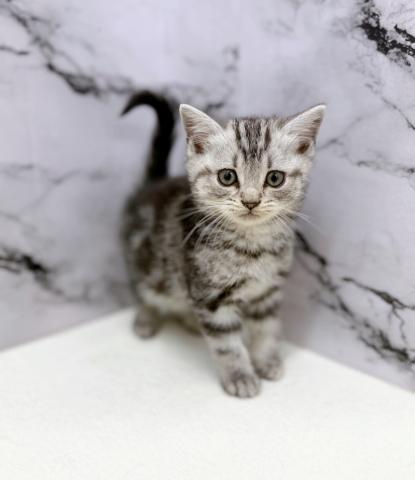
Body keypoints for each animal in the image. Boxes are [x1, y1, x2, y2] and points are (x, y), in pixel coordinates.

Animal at [121, 91, 325, 398]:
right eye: (227, 176)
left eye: (275, 178)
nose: (251, 201)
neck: (253, 247)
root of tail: (152, 187)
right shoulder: (212, 297)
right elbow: (227, 345)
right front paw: (240, 377)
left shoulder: (267, 292)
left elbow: (266, 328)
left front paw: (267, 360)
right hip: (146, 262)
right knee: (145, 289)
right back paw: (146, 318)